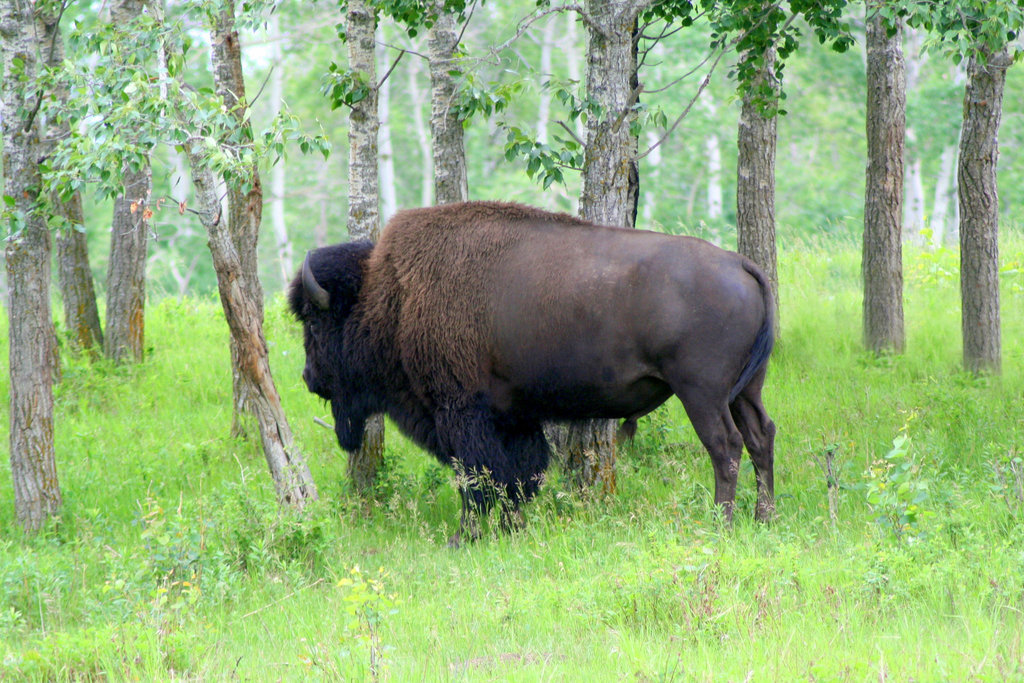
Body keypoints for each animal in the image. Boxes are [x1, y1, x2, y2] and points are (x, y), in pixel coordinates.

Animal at [290, 200, 774, 540]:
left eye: (313, 321)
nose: (309, 378)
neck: (392, 295)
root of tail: (739, 263)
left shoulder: (461, 412)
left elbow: (479, 478)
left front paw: (463, 537)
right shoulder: (514, 417)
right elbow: (518, 475)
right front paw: (512, 529)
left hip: (702, 393)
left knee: (726, 446)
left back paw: (721, 524)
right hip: (745, 391)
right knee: (760, 436)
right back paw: (763, 518)